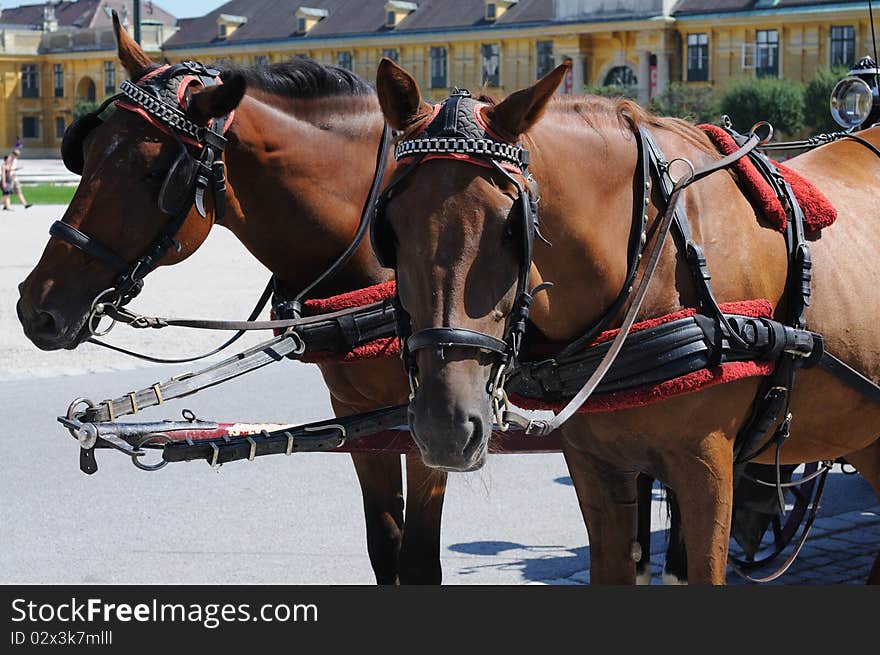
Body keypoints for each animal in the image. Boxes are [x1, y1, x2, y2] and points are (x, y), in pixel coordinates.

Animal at [17, 15, 446, 584]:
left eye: (153, 173)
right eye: (83, 155)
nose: (35, 306)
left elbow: (418, 560)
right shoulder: (359, 412)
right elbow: (385, 545)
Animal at [372, 60, 880, 584]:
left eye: (512, 227)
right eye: (389, 230)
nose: (445, 427)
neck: (657, 257)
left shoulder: (706, 468)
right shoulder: (597, 467)